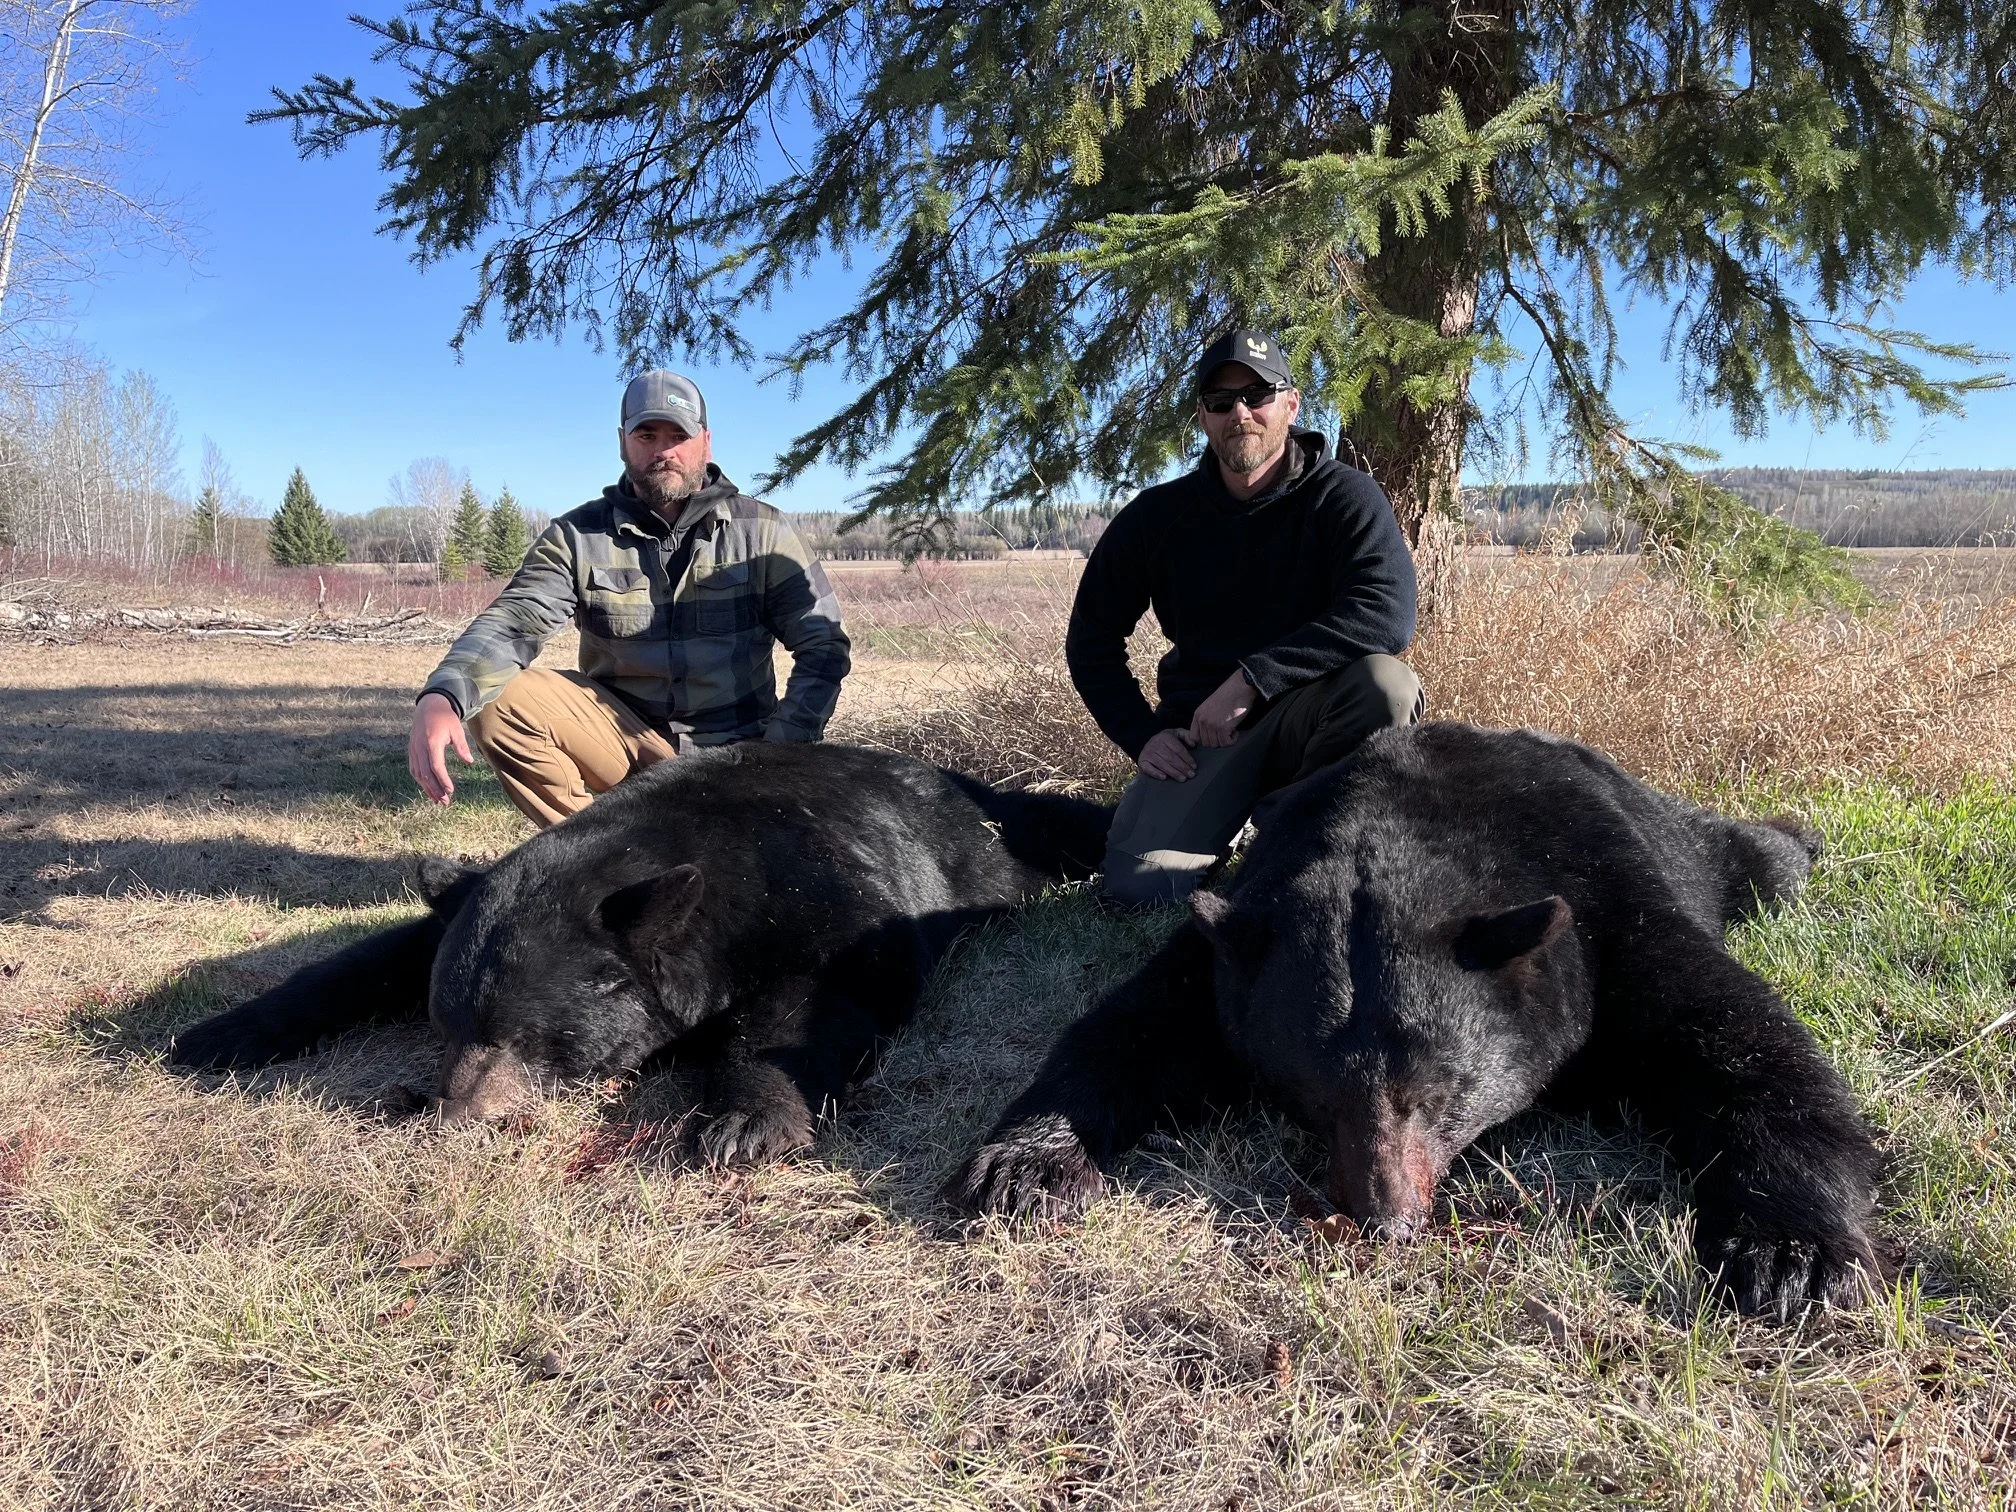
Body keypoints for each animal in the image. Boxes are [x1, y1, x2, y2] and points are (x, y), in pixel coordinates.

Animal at [172, 742, 1110, 1163]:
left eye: (524, 1038)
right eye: (450, 1024)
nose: (459, 1111)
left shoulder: (824, 890)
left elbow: (819, 996)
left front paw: (743, 1122)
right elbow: (376, 956)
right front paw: (217, 1032)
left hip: (997, 844)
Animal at [951, 722, 1882, 1321]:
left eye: (1438, 1092)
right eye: (1313, 1097)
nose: (1385, 1219)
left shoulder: (1611, 908)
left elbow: (1737, 1036)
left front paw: (1791, 1256)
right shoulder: (1234, 944)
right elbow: (1130, 1029)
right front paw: (1026, 1166)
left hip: (1692, 842)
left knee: (1766, 859)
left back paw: (1802, 839)